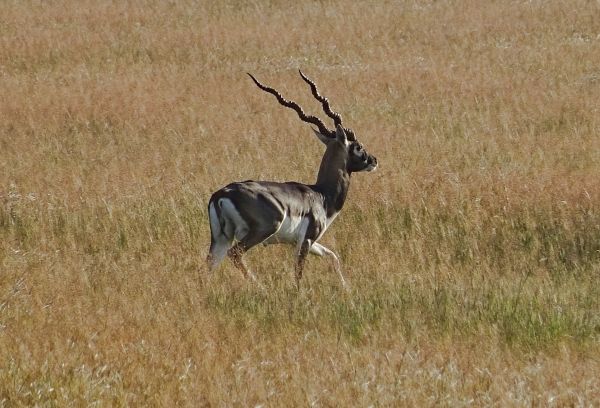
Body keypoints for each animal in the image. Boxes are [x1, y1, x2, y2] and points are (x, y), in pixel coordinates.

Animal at [205, 70, 376, 288]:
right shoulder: (306, 240)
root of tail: (221, 195)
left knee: (209, 264)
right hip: (261, 231)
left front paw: (345, 287)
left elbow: (333, 257)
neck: (321, 195)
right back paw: (260, 286)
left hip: (221, 238)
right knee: (235, 253)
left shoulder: (305, 242)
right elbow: (299, 272)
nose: (374, 160)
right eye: (358, 146)